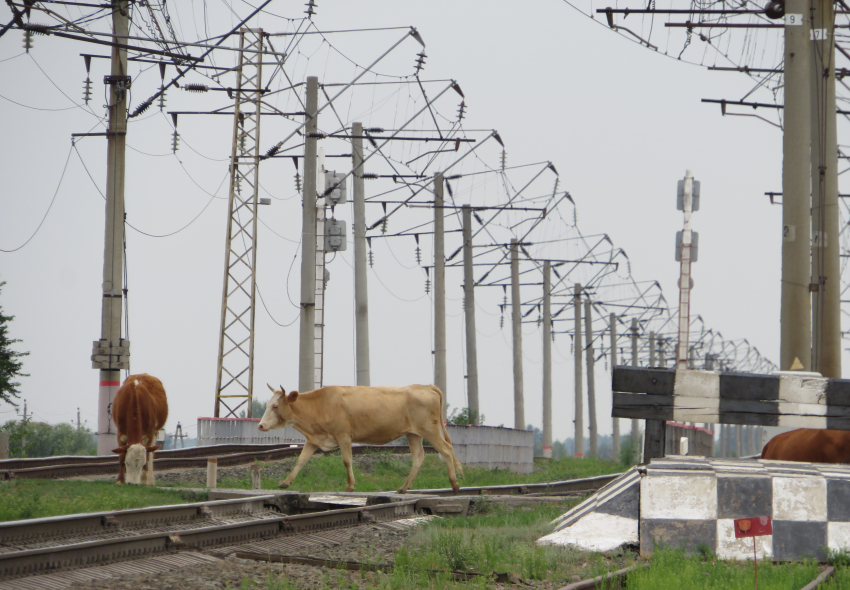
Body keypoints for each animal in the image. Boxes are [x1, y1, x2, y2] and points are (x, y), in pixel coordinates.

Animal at [258, 384, 464, 494]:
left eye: (275, 406)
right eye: (268, 405)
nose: (260, 425)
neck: (319, 404)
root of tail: (425, 386)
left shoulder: (343, 435)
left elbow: (347, 460)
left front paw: (350, 486)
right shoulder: (314, 439)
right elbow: (300, 460)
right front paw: (285, 482)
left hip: (430, 431)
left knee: (446, 450)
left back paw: (454, 485)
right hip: (413, 434)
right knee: (419, 458)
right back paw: (403, 488)